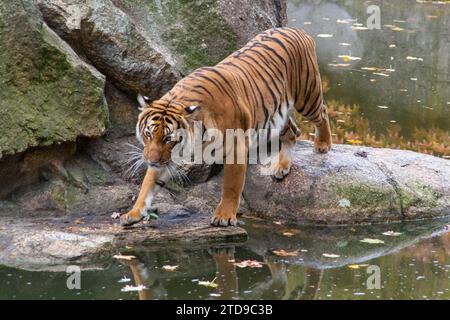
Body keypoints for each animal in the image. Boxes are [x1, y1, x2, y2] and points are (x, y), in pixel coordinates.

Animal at [119, 27, 330, 228]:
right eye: (148, 134)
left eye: (169, 138)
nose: (150, 160)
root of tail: (295, 29)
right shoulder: (165, 159)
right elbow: (148, 184)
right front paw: (133, 213)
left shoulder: (236, 148)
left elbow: (231, 186)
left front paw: (224, 217)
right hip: (276, 114)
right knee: (293, 131)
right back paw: (281, 166)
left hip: (307, 95)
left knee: (322, 112)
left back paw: (323, 144)